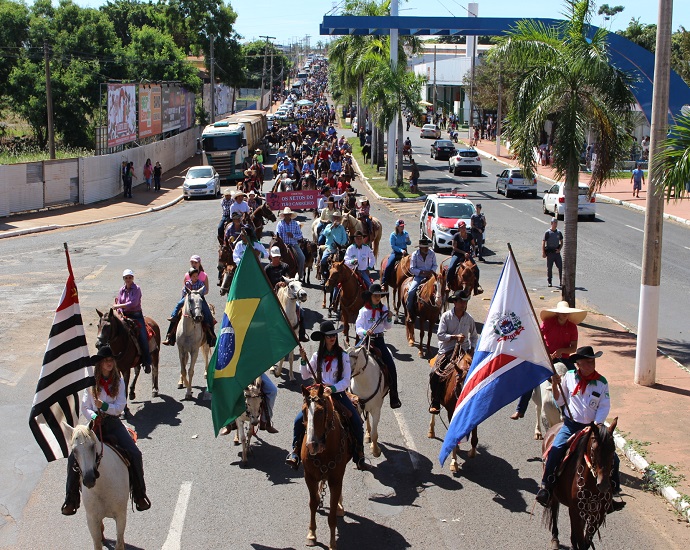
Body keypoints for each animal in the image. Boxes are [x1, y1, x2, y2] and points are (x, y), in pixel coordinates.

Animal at [298, 384, 350, 550]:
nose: (311, 445)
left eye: (320, 411)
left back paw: (340, 506)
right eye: (304, 410)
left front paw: (332, 543)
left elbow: (332, 513)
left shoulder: (335, 479)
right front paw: (311, 534)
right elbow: (313, 503)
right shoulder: (309, 476)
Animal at [544, 420, 620, 548]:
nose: (604, 485)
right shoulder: (576, 512)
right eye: (594, 449)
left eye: (613, 449)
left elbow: (586, 542)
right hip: (554, 495)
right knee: (554, 511)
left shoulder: (597, 515)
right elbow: (580, 540)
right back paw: (555, 539)